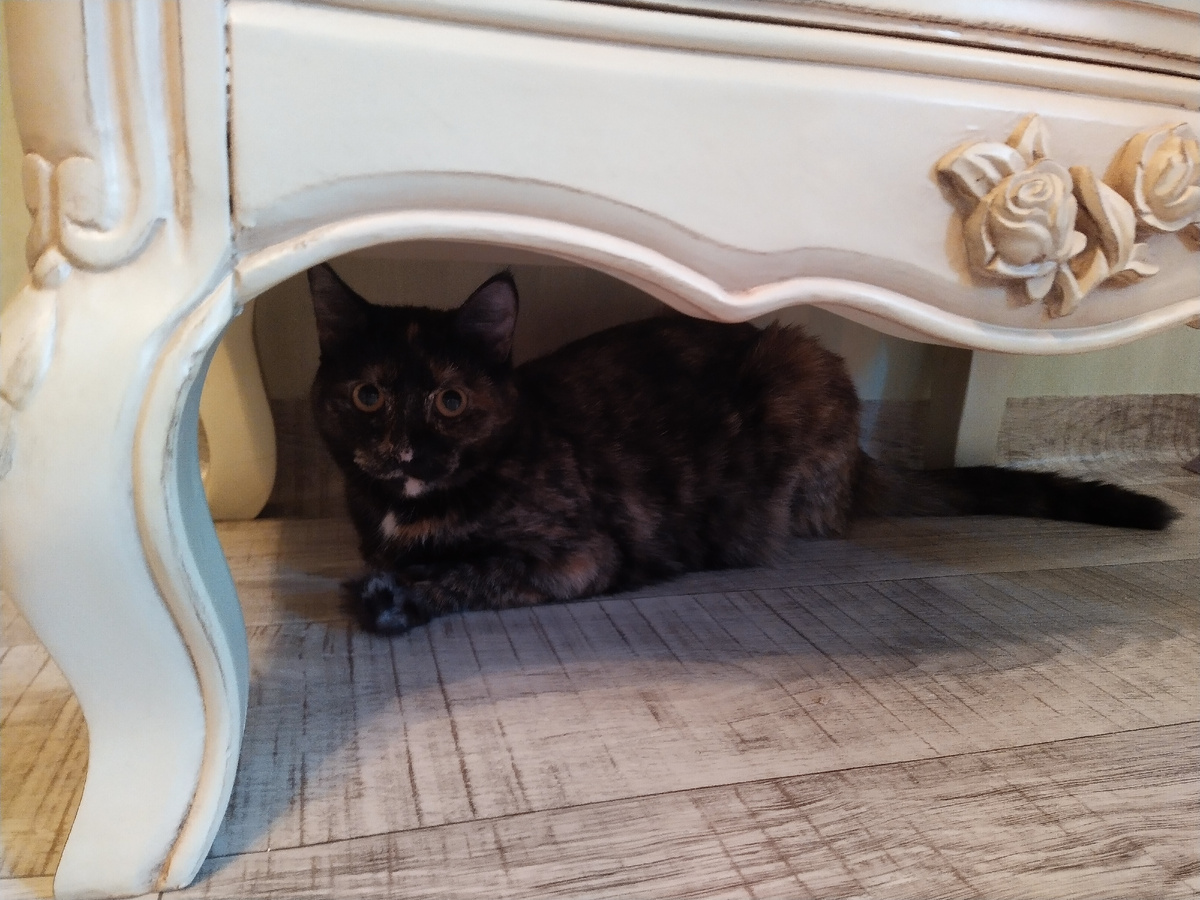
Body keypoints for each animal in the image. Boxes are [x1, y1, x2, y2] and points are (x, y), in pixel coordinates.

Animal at [308, 264, 1179, 635]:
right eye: (368, 396)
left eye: (450, 401)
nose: (403, 450)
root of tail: (861, 459)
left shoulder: (578, 553)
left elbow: (475, 571)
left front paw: (399, 596)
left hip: (796, 365)